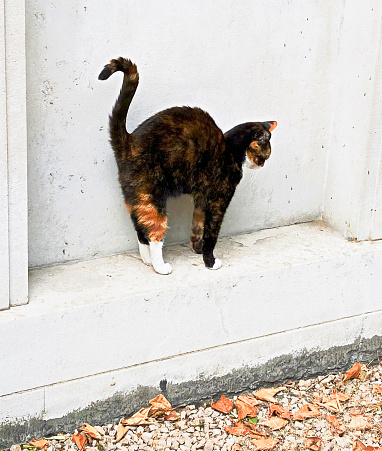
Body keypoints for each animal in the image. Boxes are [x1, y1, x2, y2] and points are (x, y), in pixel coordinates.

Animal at [100, 56, 276, 276]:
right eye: (265, 155)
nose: (262, 165)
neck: (231, 149)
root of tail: (129, 141)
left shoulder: (201, 199)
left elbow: (198, 226)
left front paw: (197, 250)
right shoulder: (218, 201)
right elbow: (211, 234)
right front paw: (210, 261)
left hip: (136, 198)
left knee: (140, 229)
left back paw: (147, 260)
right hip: (151, 198)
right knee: (154, 233)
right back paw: (160, 267)